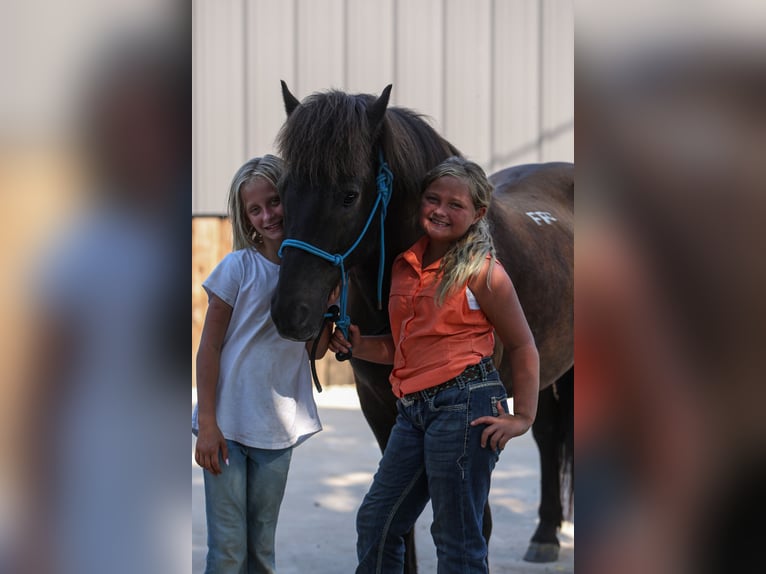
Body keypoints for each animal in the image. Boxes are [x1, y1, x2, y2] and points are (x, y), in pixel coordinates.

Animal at [272, 82, 572, 572]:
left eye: (349, 195)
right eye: (282, 192)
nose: (288, 312)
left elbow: (474, 524)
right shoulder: (380, 408)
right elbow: (401, 523)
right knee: (547, 434)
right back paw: (545, 533)